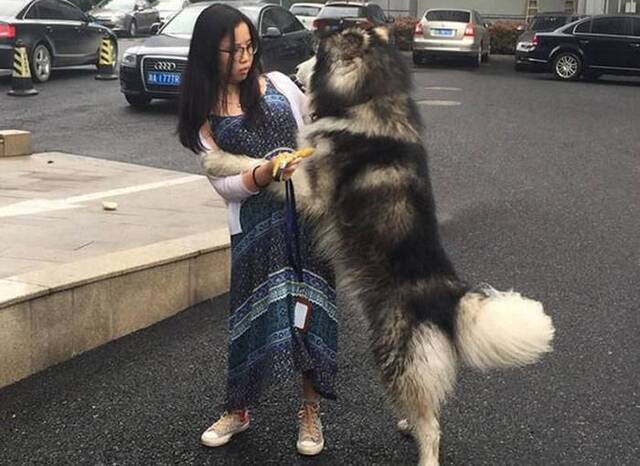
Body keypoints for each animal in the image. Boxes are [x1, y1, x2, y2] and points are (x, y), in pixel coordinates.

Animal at [202, 28, 552, 466]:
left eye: (316, 55)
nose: (292, 71)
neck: (369, 99)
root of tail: (448, 294)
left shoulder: (314, 193)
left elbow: (263, 164)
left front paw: (217, 158)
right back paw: (408, 424)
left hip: (393, 352)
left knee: (432, 423)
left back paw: (425, 451)